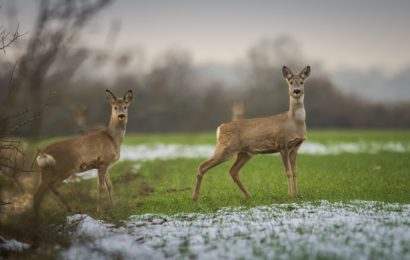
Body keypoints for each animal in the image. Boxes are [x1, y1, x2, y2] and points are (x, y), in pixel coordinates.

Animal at [34, 88, 133, 216]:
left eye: (125, 106)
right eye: (115, 107)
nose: (121, 115)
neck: (112, 139)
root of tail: (43, 154)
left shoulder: (105, 164)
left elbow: (110, 185)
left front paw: (113, 208)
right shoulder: (102, 162)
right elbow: (100, 187)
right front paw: (100, 211)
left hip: (46, 171)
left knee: (42, 191)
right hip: (66, 168)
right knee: (46, 189)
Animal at [192, 65, 310, 201]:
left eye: (302, 82)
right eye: (290, 82)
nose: (296, 91)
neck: (293, 122)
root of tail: (220, 128)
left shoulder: (296, 147)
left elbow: (295, 172)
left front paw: (297, 194)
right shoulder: (282, 144)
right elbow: (288, 172)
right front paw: (290, 195)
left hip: (244, 153)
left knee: (233, 171)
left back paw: (249, 196)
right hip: (226, 148)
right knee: (202, 166)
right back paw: (194, 198)